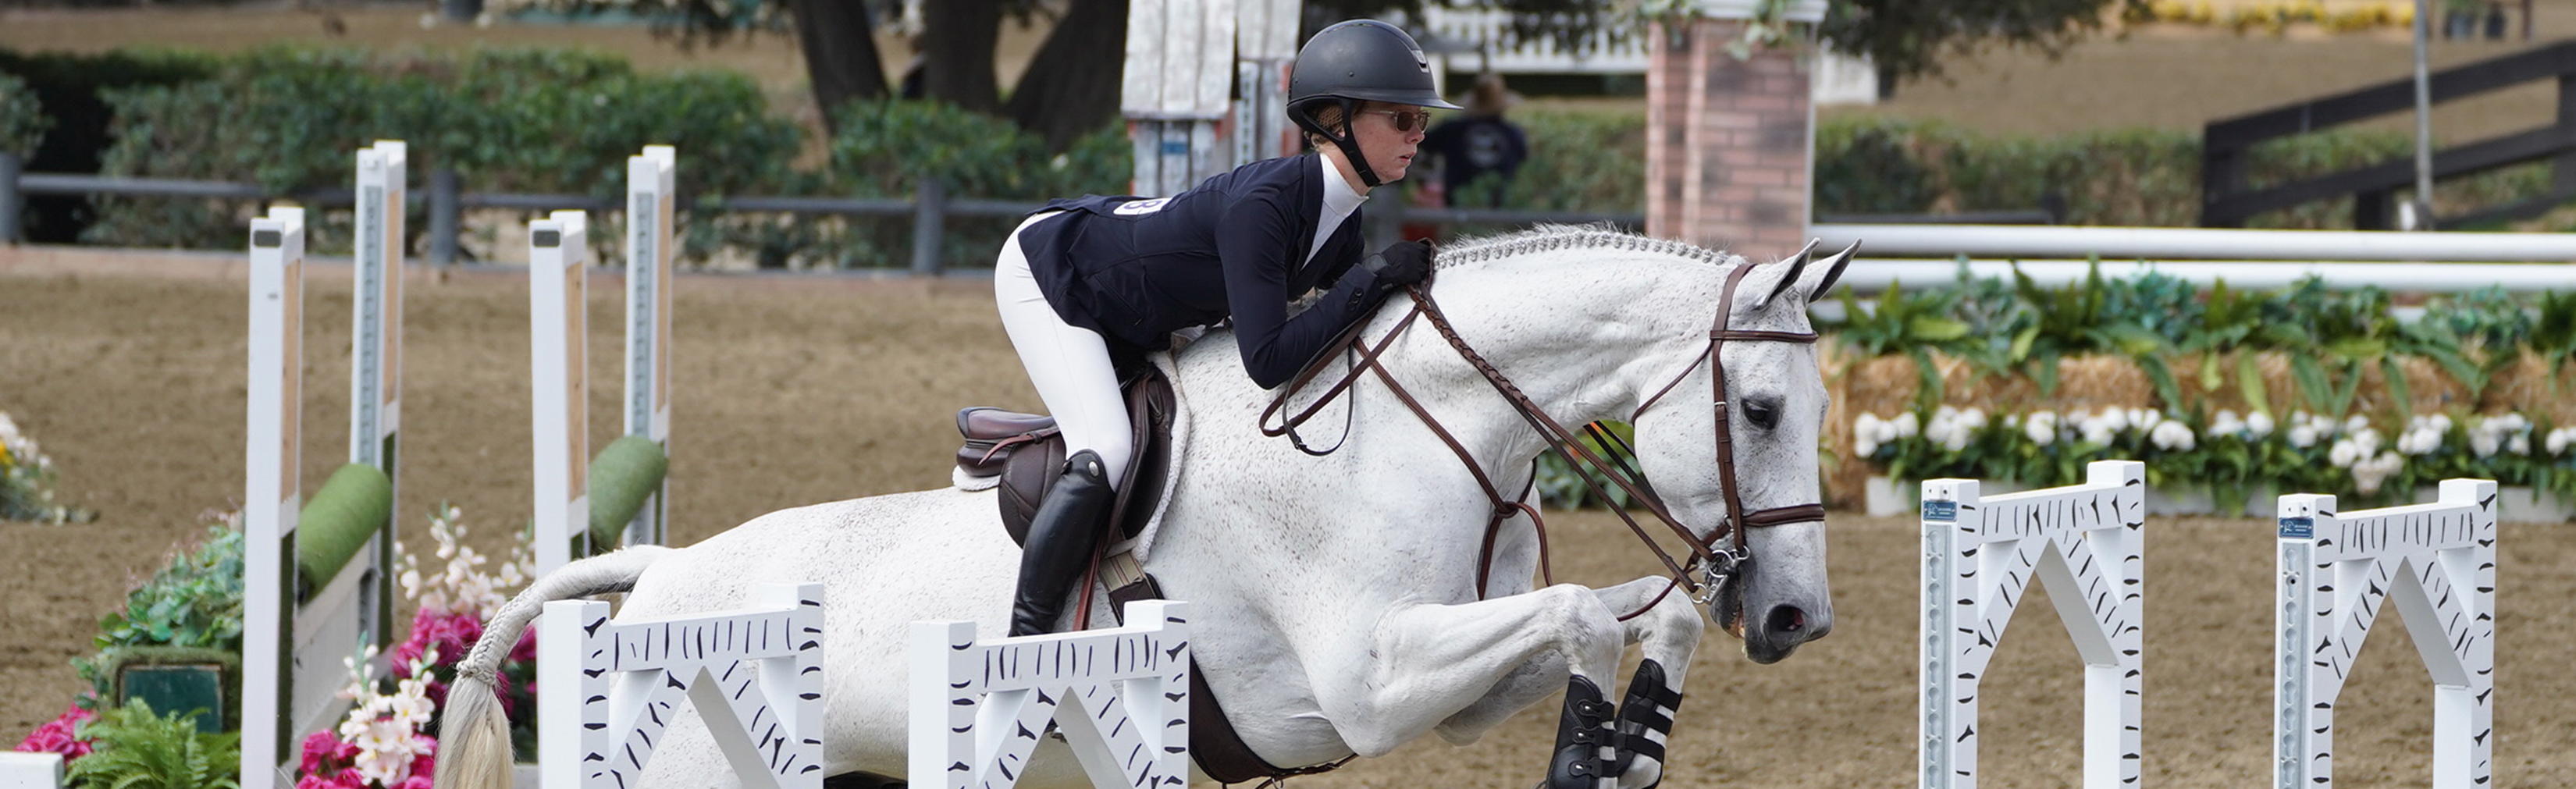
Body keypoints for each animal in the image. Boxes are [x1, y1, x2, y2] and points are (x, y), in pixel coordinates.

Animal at [438, 226, 1855, 788]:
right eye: (1761, 409)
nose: (1796, 618)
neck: (1415, 434)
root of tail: (658, 578)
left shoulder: (1441, 686)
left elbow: (1627, 615)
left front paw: (1638, 735)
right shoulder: (1364, 681)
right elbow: (1583, 615)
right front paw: (1587, 755)